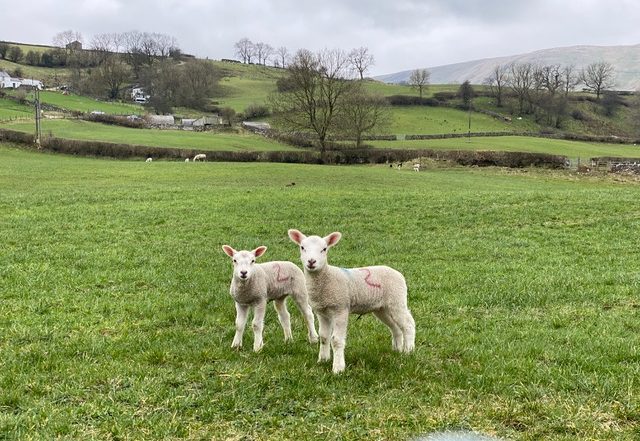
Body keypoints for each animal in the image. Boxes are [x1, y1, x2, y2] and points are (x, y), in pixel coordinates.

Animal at [288, 229, 415, 373]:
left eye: (324, 249)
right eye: (302, 247)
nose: (311, 261)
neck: (327, 278)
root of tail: (398, 274)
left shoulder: (340, 308)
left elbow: (336, 340)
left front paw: (338, 368)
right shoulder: (322, 312)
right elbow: (324, 337)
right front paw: (322, 360)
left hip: (396, 299)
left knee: (408, 324)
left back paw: (408, 351)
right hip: (382, 308)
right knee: (395, 327)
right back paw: (397, 350)